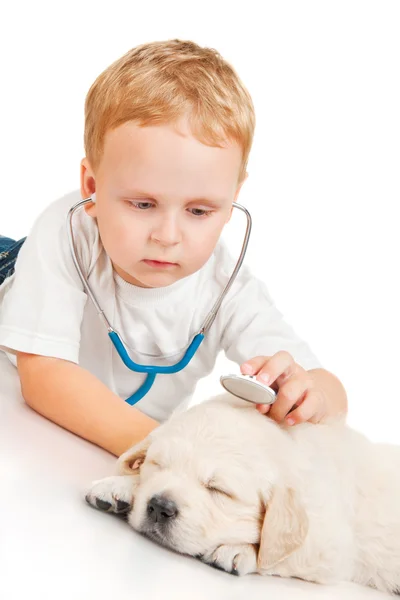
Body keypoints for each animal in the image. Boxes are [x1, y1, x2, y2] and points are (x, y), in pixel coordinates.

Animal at [84, 392, 400, 592]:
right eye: (158, 464)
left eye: (218, 490)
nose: (160, 507)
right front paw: (118, 487)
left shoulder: (332, 547)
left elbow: (282, 553)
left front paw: (240, 550)